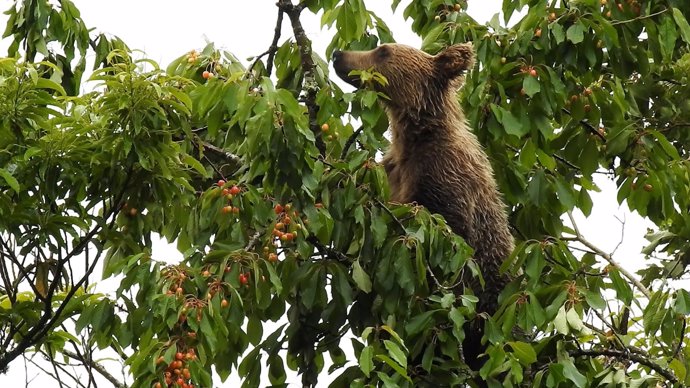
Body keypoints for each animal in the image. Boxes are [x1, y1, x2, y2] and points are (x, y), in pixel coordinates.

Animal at [330, 44, 512, 374]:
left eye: (383, 51)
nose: (339, 54)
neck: (415, 135)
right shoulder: (392, 172)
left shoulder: (444, 176)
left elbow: (447, 233)